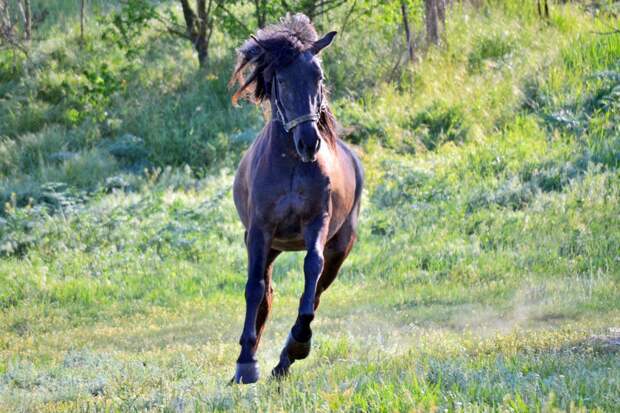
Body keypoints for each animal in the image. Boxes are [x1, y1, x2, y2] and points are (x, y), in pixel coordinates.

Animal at [228, 15, 364, 384]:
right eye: (282, 80)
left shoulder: (317, 222)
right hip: (269, 246)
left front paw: (300, 341)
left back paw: (285, 359)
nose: (309, 142)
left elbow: (311, 268)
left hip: (340, 248)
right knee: (264, 292)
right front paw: (246, 364)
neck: (290, 163)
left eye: (319, 77)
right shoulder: (259, 231)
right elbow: (254, 287)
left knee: (317, 290)